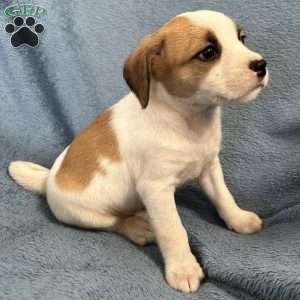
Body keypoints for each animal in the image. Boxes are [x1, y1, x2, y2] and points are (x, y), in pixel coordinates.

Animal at [8, 9, 268, 292]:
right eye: (208, 52)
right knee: (114, 222)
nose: (261, 64)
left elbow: (223, 197)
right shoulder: (156, 189)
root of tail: (47, 180)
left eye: (241, 38)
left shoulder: (209, 168)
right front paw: (183, 268)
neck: (186, 119)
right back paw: (139, 227)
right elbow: (173, 230)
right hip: (81, 215)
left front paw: (238, 219)